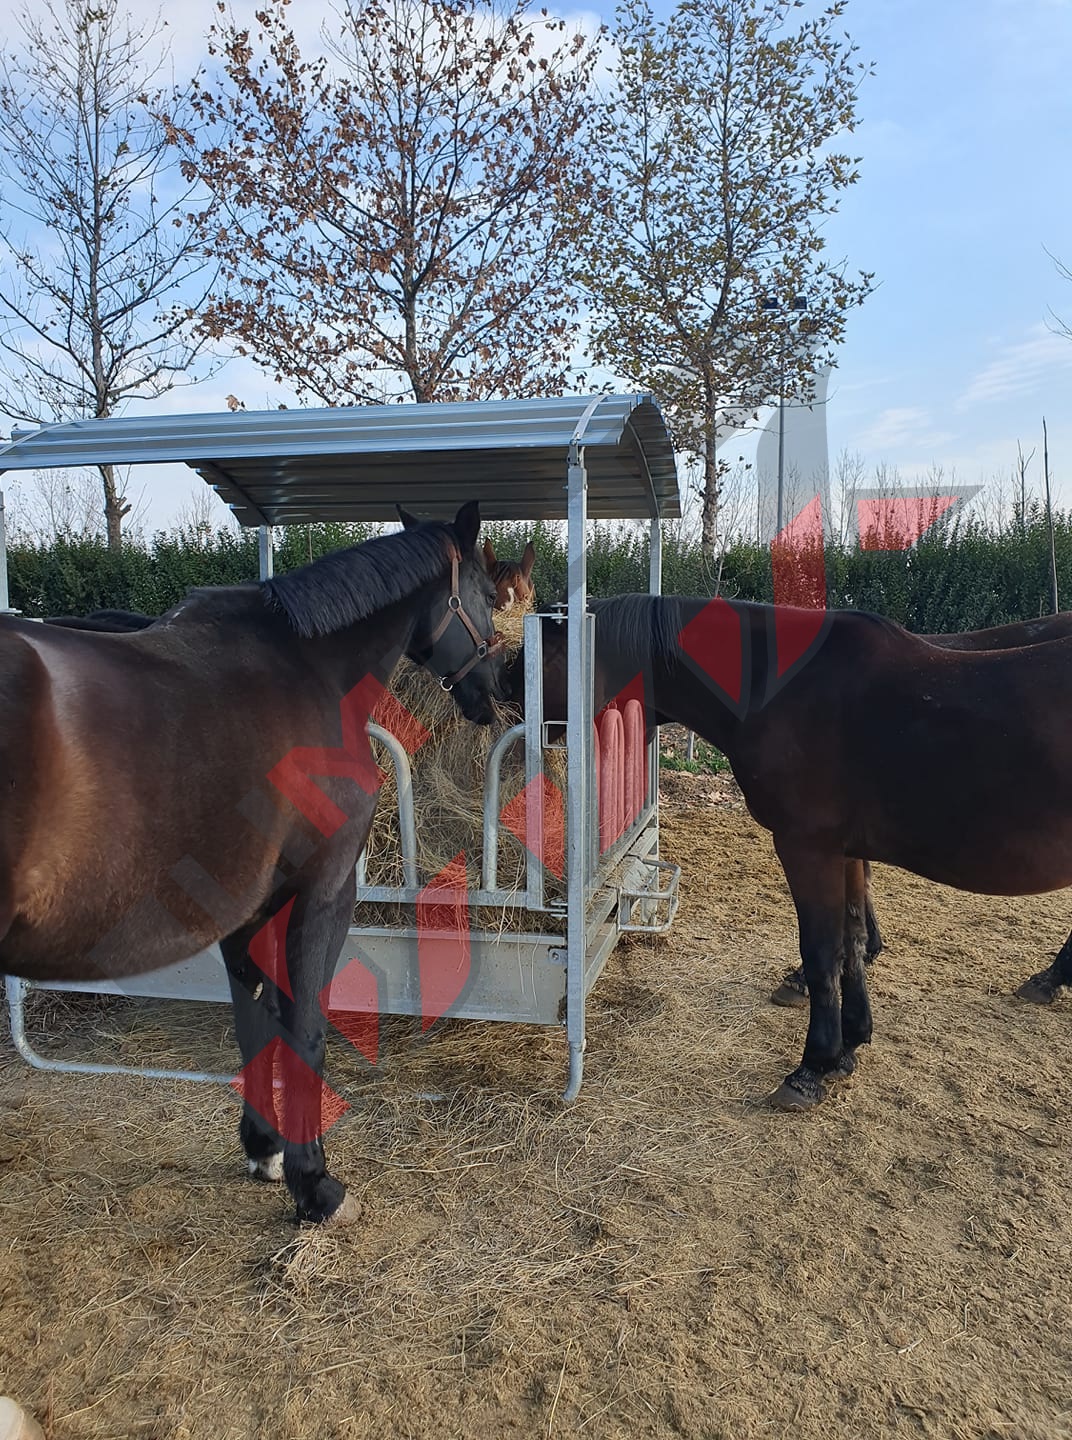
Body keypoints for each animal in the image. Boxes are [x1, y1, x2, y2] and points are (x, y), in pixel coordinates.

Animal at [1, 501, 507, 1222]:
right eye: (489, 593)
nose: (496, 689)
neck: (305, 670)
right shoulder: (322, 891)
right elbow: (304, 1028)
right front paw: (314, 1181)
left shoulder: (241, 910)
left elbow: (254, 1026)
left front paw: (262, 1147)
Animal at [510, 595, 1072, 1109]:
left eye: (538, 655)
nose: (495, 702)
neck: (781, 693)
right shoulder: (848, 853)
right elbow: (852, 943)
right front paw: (850, 1045)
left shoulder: (809, 849)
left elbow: (822, 954)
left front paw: (812, 1068)